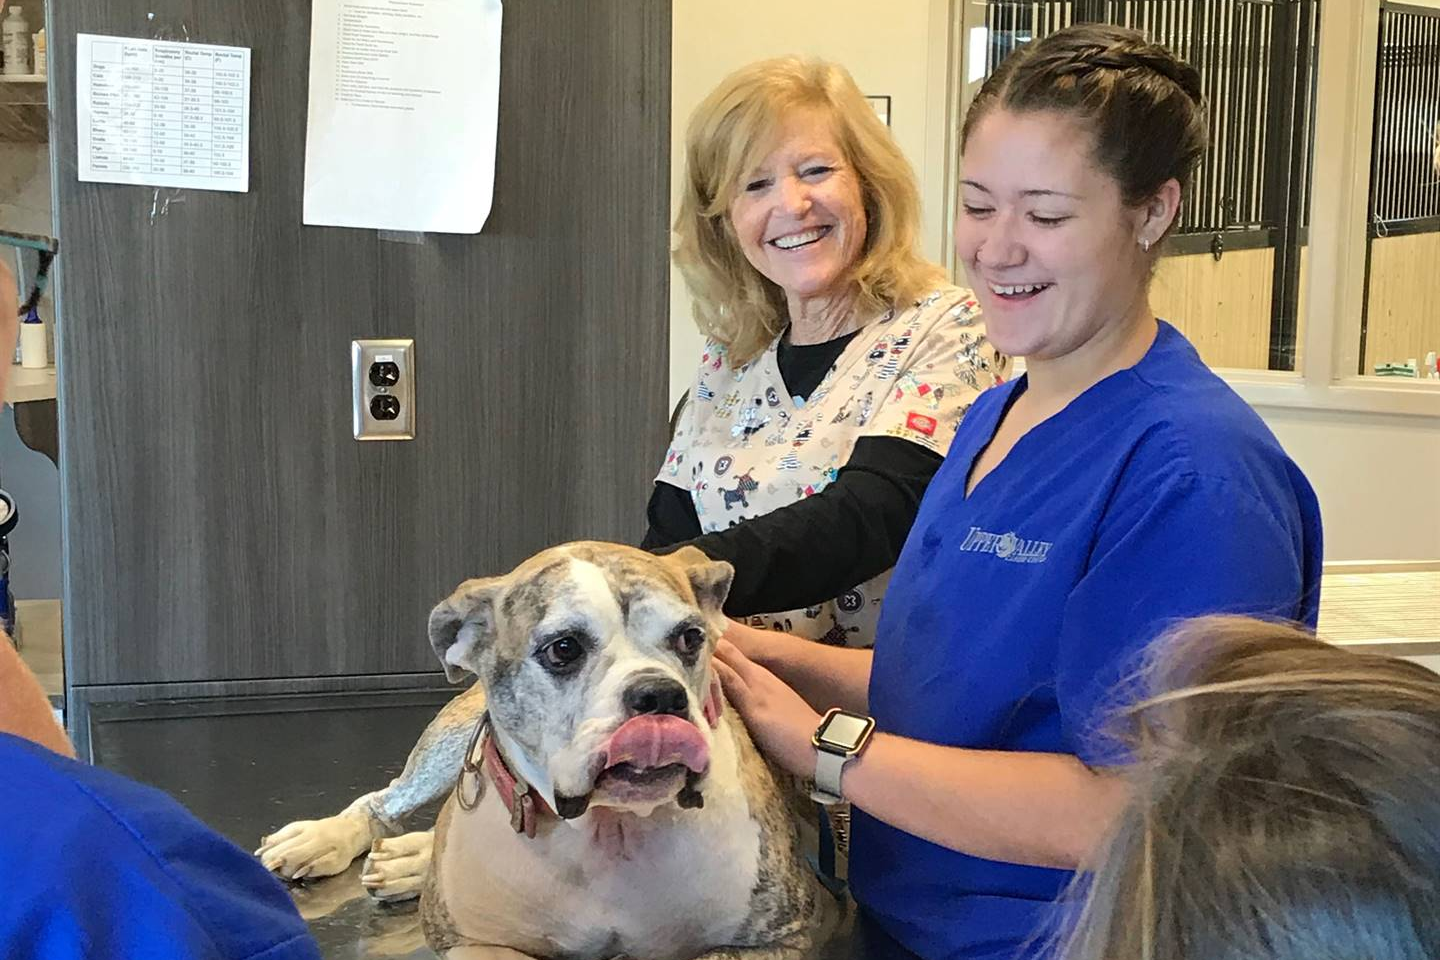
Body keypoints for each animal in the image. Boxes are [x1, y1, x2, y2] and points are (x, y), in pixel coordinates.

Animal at [253, 544, 829, 955]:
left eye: (690, 638)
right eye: (563, 649)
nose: (659, 695)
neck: (608, 828)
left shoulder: (783, 937)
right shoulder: (477, 945)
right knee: (383, 800)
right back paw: (322, 841)